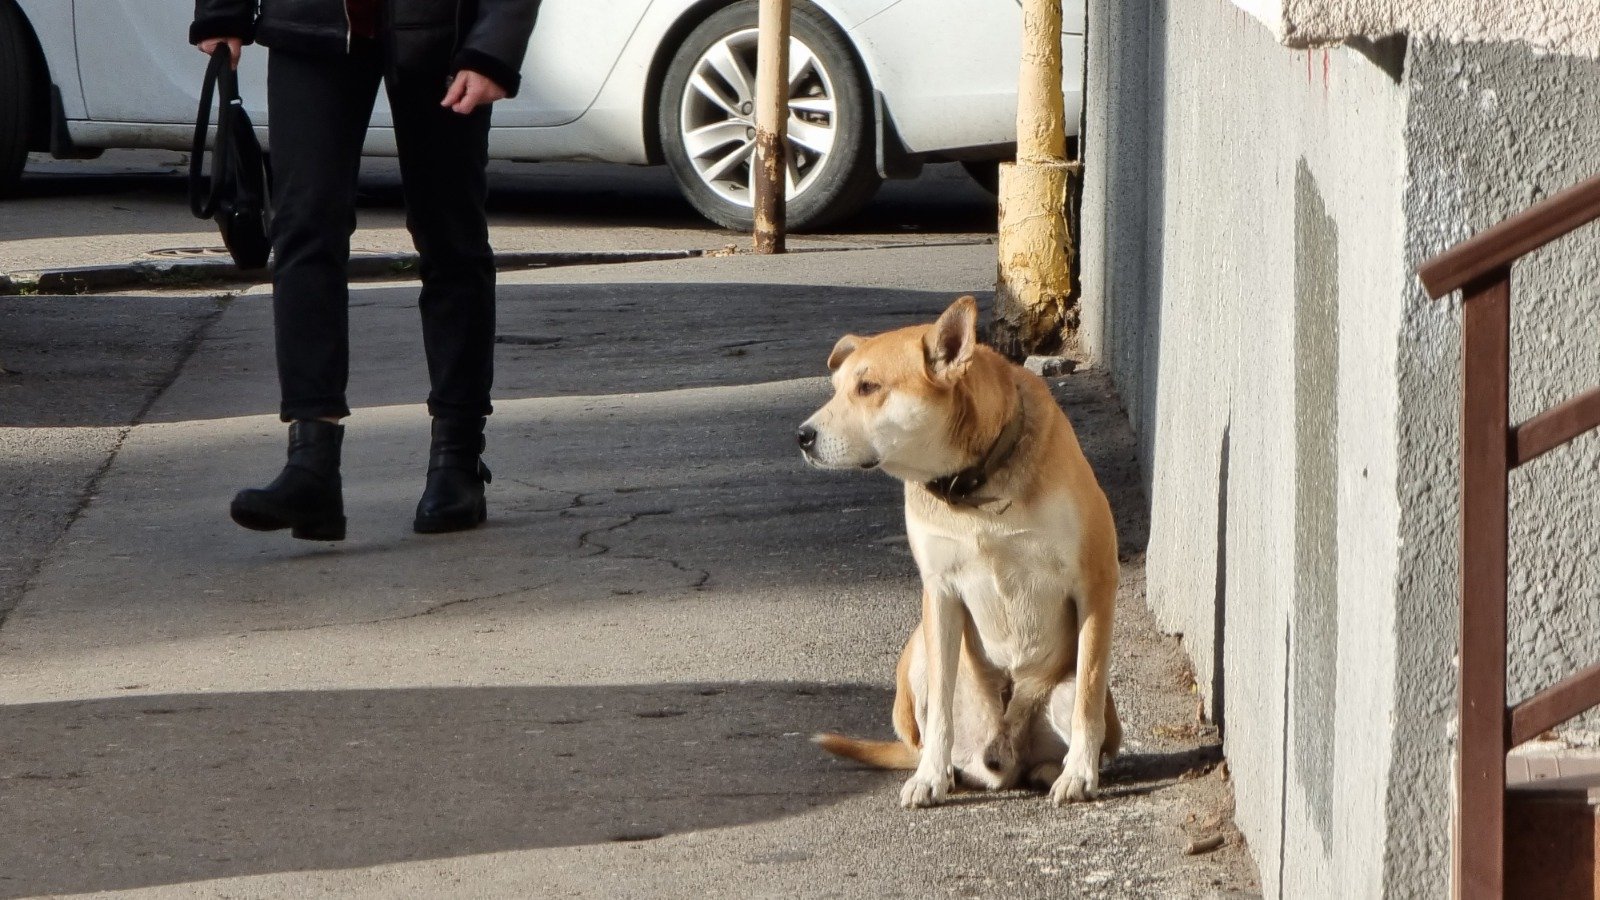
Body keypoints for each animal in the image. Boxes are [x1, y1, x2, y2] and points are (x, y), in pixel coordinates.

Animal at [800, 294, 1126, 807]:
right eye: (836, 390)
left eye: (869, 387)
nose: (802, 436)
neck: (974, 487)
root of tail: (1003, 755)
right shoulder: (940, 592)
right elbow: (939, 712)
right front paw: (930, 778)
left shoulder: (1095, 582)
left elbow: (1089, 694)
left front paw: (1079, 773)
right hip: (917, 651)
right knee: (931, 726)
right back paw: (942, 769)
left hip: (1058, 693)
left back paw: (1051, 769)